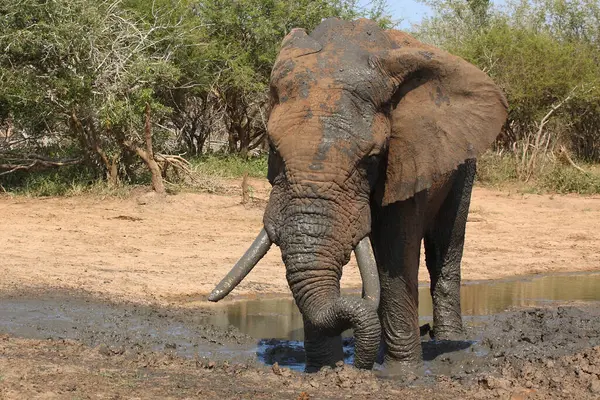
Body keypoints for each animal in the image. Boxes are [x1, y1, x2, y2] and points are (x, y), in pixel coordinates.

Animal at [206, 18, 506, 372]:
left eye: (371, 158)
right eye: (273, 149)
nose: (208, 297)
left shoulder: (409, 153)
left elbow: (395, 250)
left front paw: (402, 373)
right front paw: (325, 371)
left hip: (463, 162)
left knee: (446, 246)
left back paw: (448, 343)